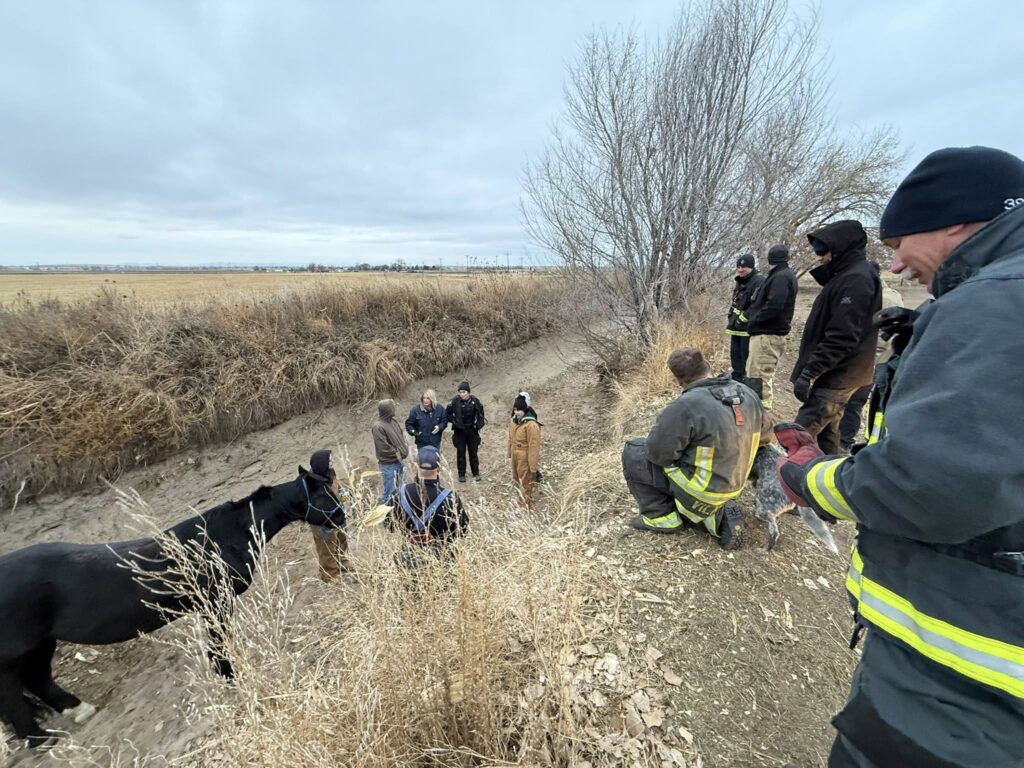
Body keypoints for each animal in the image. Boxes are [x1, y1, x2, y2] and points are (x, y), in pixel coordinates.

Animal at [0, 464, 345, 746]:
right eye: (327, 495)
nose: (344, 515)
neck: (224, 536)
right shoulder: (215, 604)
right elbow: (219, 645)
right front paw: (229, 676)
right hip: (16, 653)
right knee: (14, 692)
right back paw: (38, 738)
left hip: (41, 643)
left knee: (38, 678)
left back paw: (77, 709)